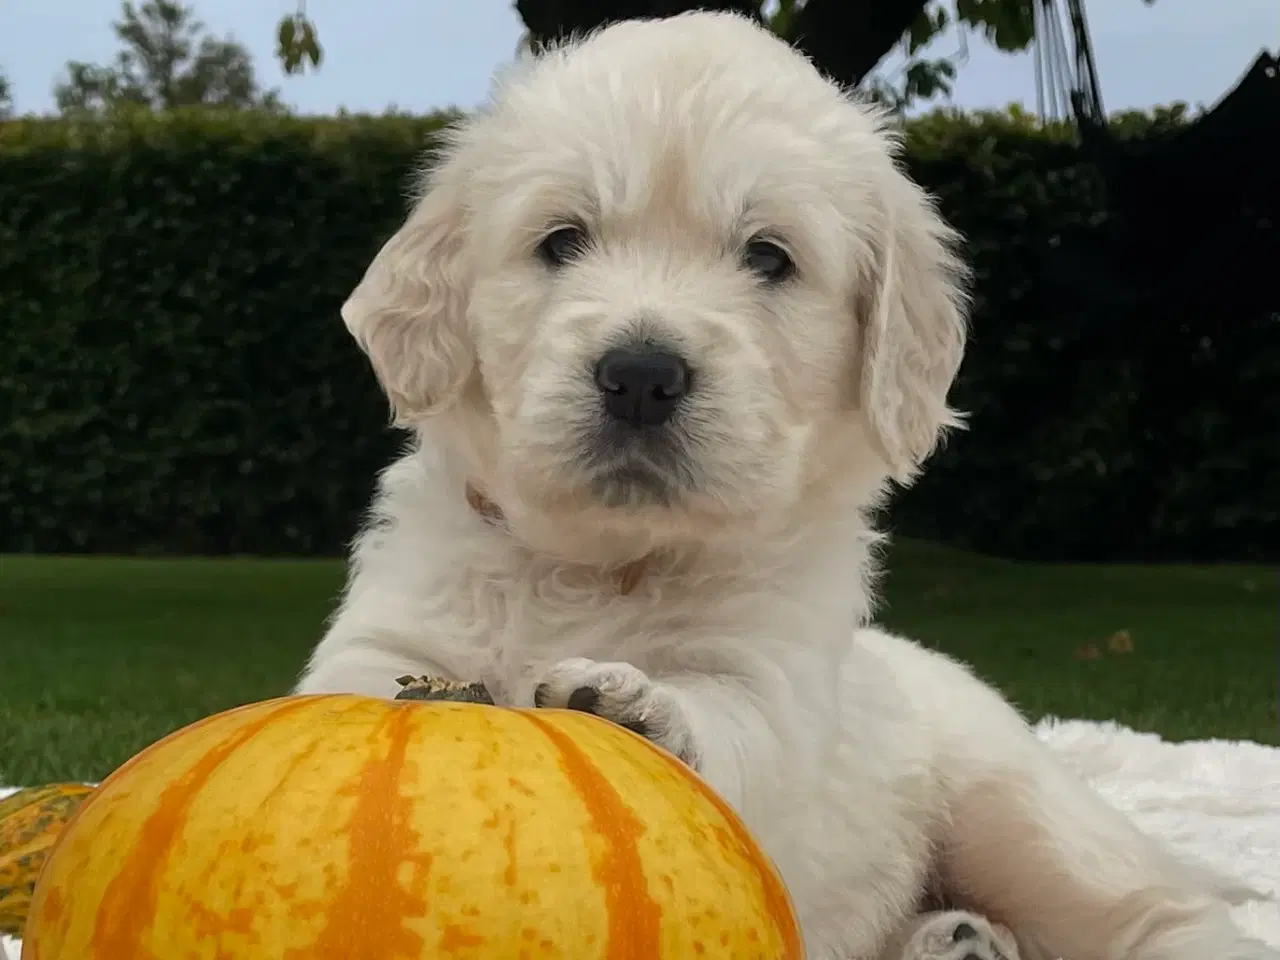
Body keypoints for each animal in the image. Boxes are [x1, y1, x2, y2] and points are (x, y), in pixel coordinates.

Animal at [296, 13, 1269, 960]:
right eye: (561, 240)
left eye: (769, 257)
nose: (640, 376)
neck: (604, 566)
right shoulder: (390, 634)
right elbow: (356, 695)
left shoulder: (771, 684)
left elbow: (726, 726)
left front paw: (637, 710)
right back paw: (953, 940)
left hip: (1018, 812)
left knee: (1155, 906)